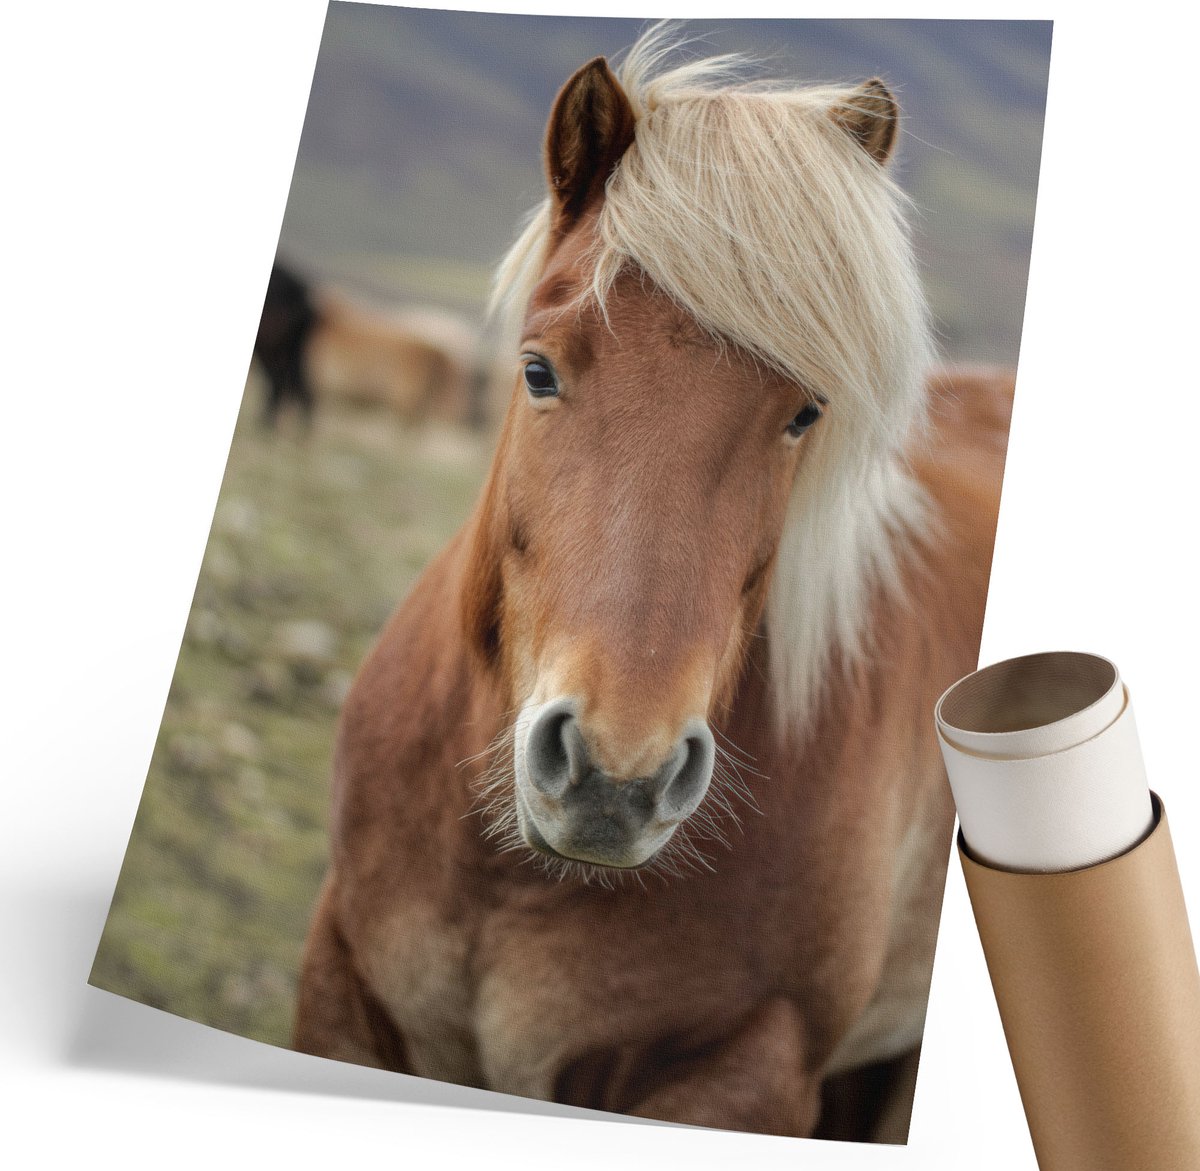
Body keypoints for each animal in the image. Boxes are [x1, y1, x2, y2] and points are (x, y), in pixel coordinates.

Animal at [294, 31, 1013, 1142]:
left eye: (804, 413)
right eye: (538, 371)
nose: (615, 777)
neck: (509, 878)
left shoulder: (744, 1077)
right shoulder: (341, 989)